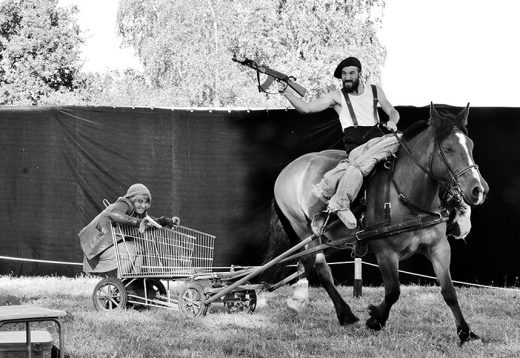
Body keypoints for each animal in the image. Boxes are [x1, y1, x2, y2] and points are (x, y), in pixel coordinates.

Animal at [266, 103, 490, 344]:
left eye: (471, 145)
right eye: (447, 149)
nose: (479, 189)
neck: (405, 195)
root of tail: (288, 169)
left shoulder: (439, 247)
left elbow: (449, 291)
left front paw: (465, 332)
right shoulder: (386, 252)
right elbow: (393, 291)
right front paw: (376, 319)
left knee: (309, 263)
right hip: (303, 228)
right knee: (317, 265)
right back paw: (330, 308)